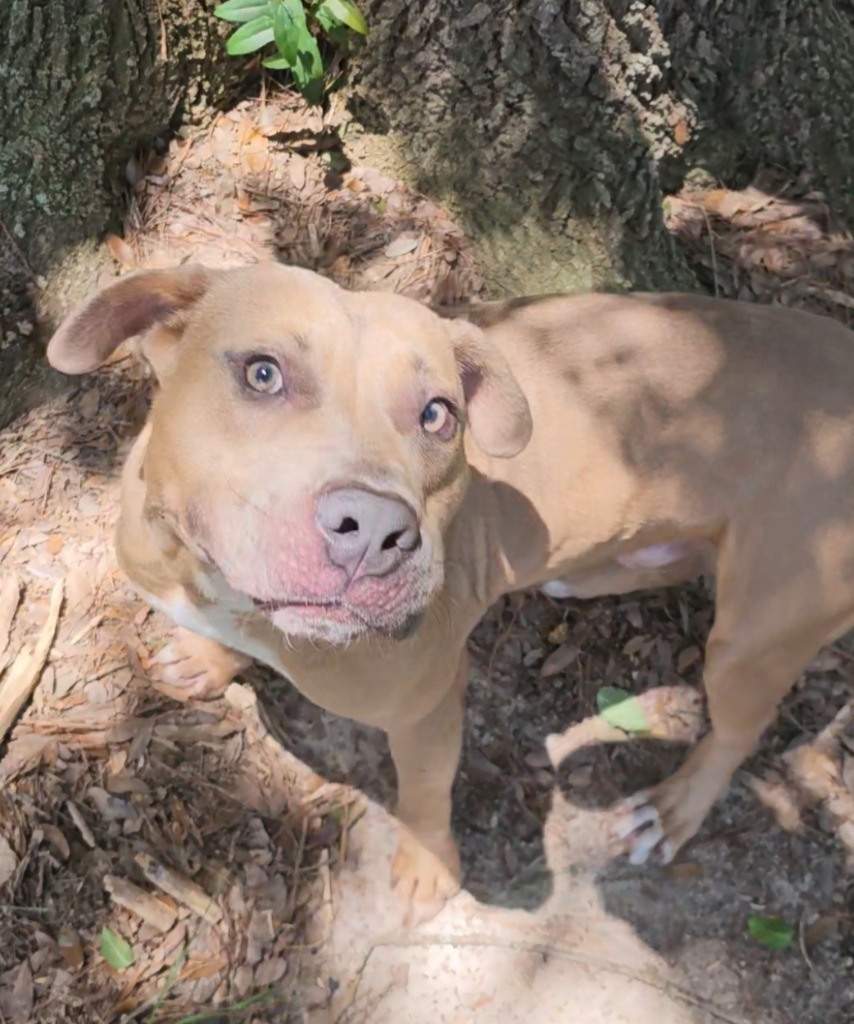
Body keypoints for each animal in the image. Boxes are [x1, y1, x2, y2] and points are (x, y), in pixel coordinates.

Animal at [48, 262, 851, 921]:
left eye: (438, 415)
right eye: (262, 374)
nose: (375, 531)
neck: (225, 593)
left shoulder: (426, 703)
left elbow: (426, 790)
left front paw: (430, 869)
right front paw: (207, 659)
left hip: (756, 631)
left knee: (740, 729)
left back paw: (674, 808)